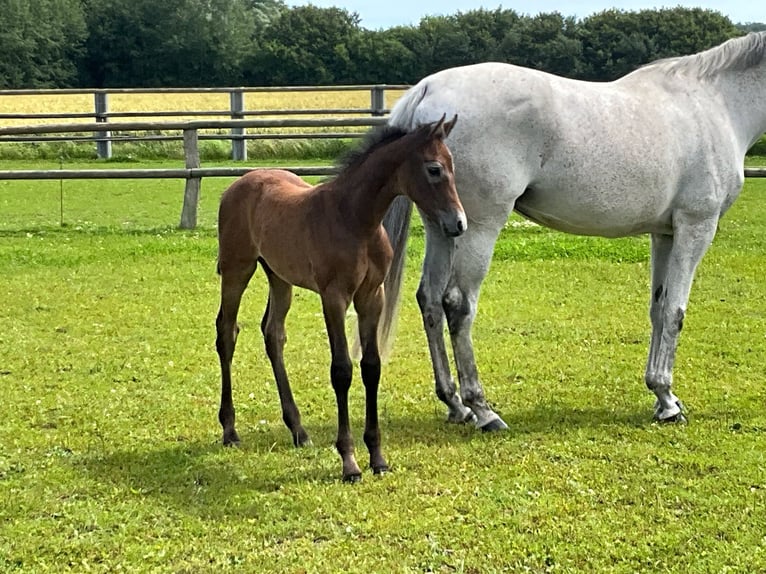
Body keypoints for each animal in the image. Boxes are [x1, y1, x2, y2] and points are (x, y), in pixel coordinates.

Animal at [213, 113, 464, 482]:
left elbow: (371, 366)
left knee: (273, 334)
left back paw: (299, 430)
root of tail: (239, 184)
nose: (458, 223)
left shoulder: (372, 296)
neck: (356, 220)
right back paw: (230, 430)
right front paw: (349, 462)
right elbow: (342, 370)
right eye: (434, 169)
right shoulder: (333, 297)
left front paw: (377, 457)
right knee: (227, 333)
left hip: (279, 277)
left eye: (453, 166)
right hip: (237, 270)